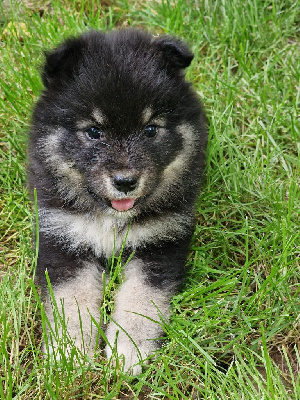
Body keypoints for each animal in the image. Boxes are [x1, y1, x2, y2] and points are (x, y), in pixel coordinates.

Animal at [27, 28, 206, 376]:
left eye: (150, 129)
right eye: (94, 131)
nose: (125, 182)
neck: (110, 218)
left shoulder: (158, 243)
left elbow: (140, 300)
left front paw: (128, 352)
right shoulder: (64, 238)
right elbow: (73, 302)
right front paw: (70, 354)